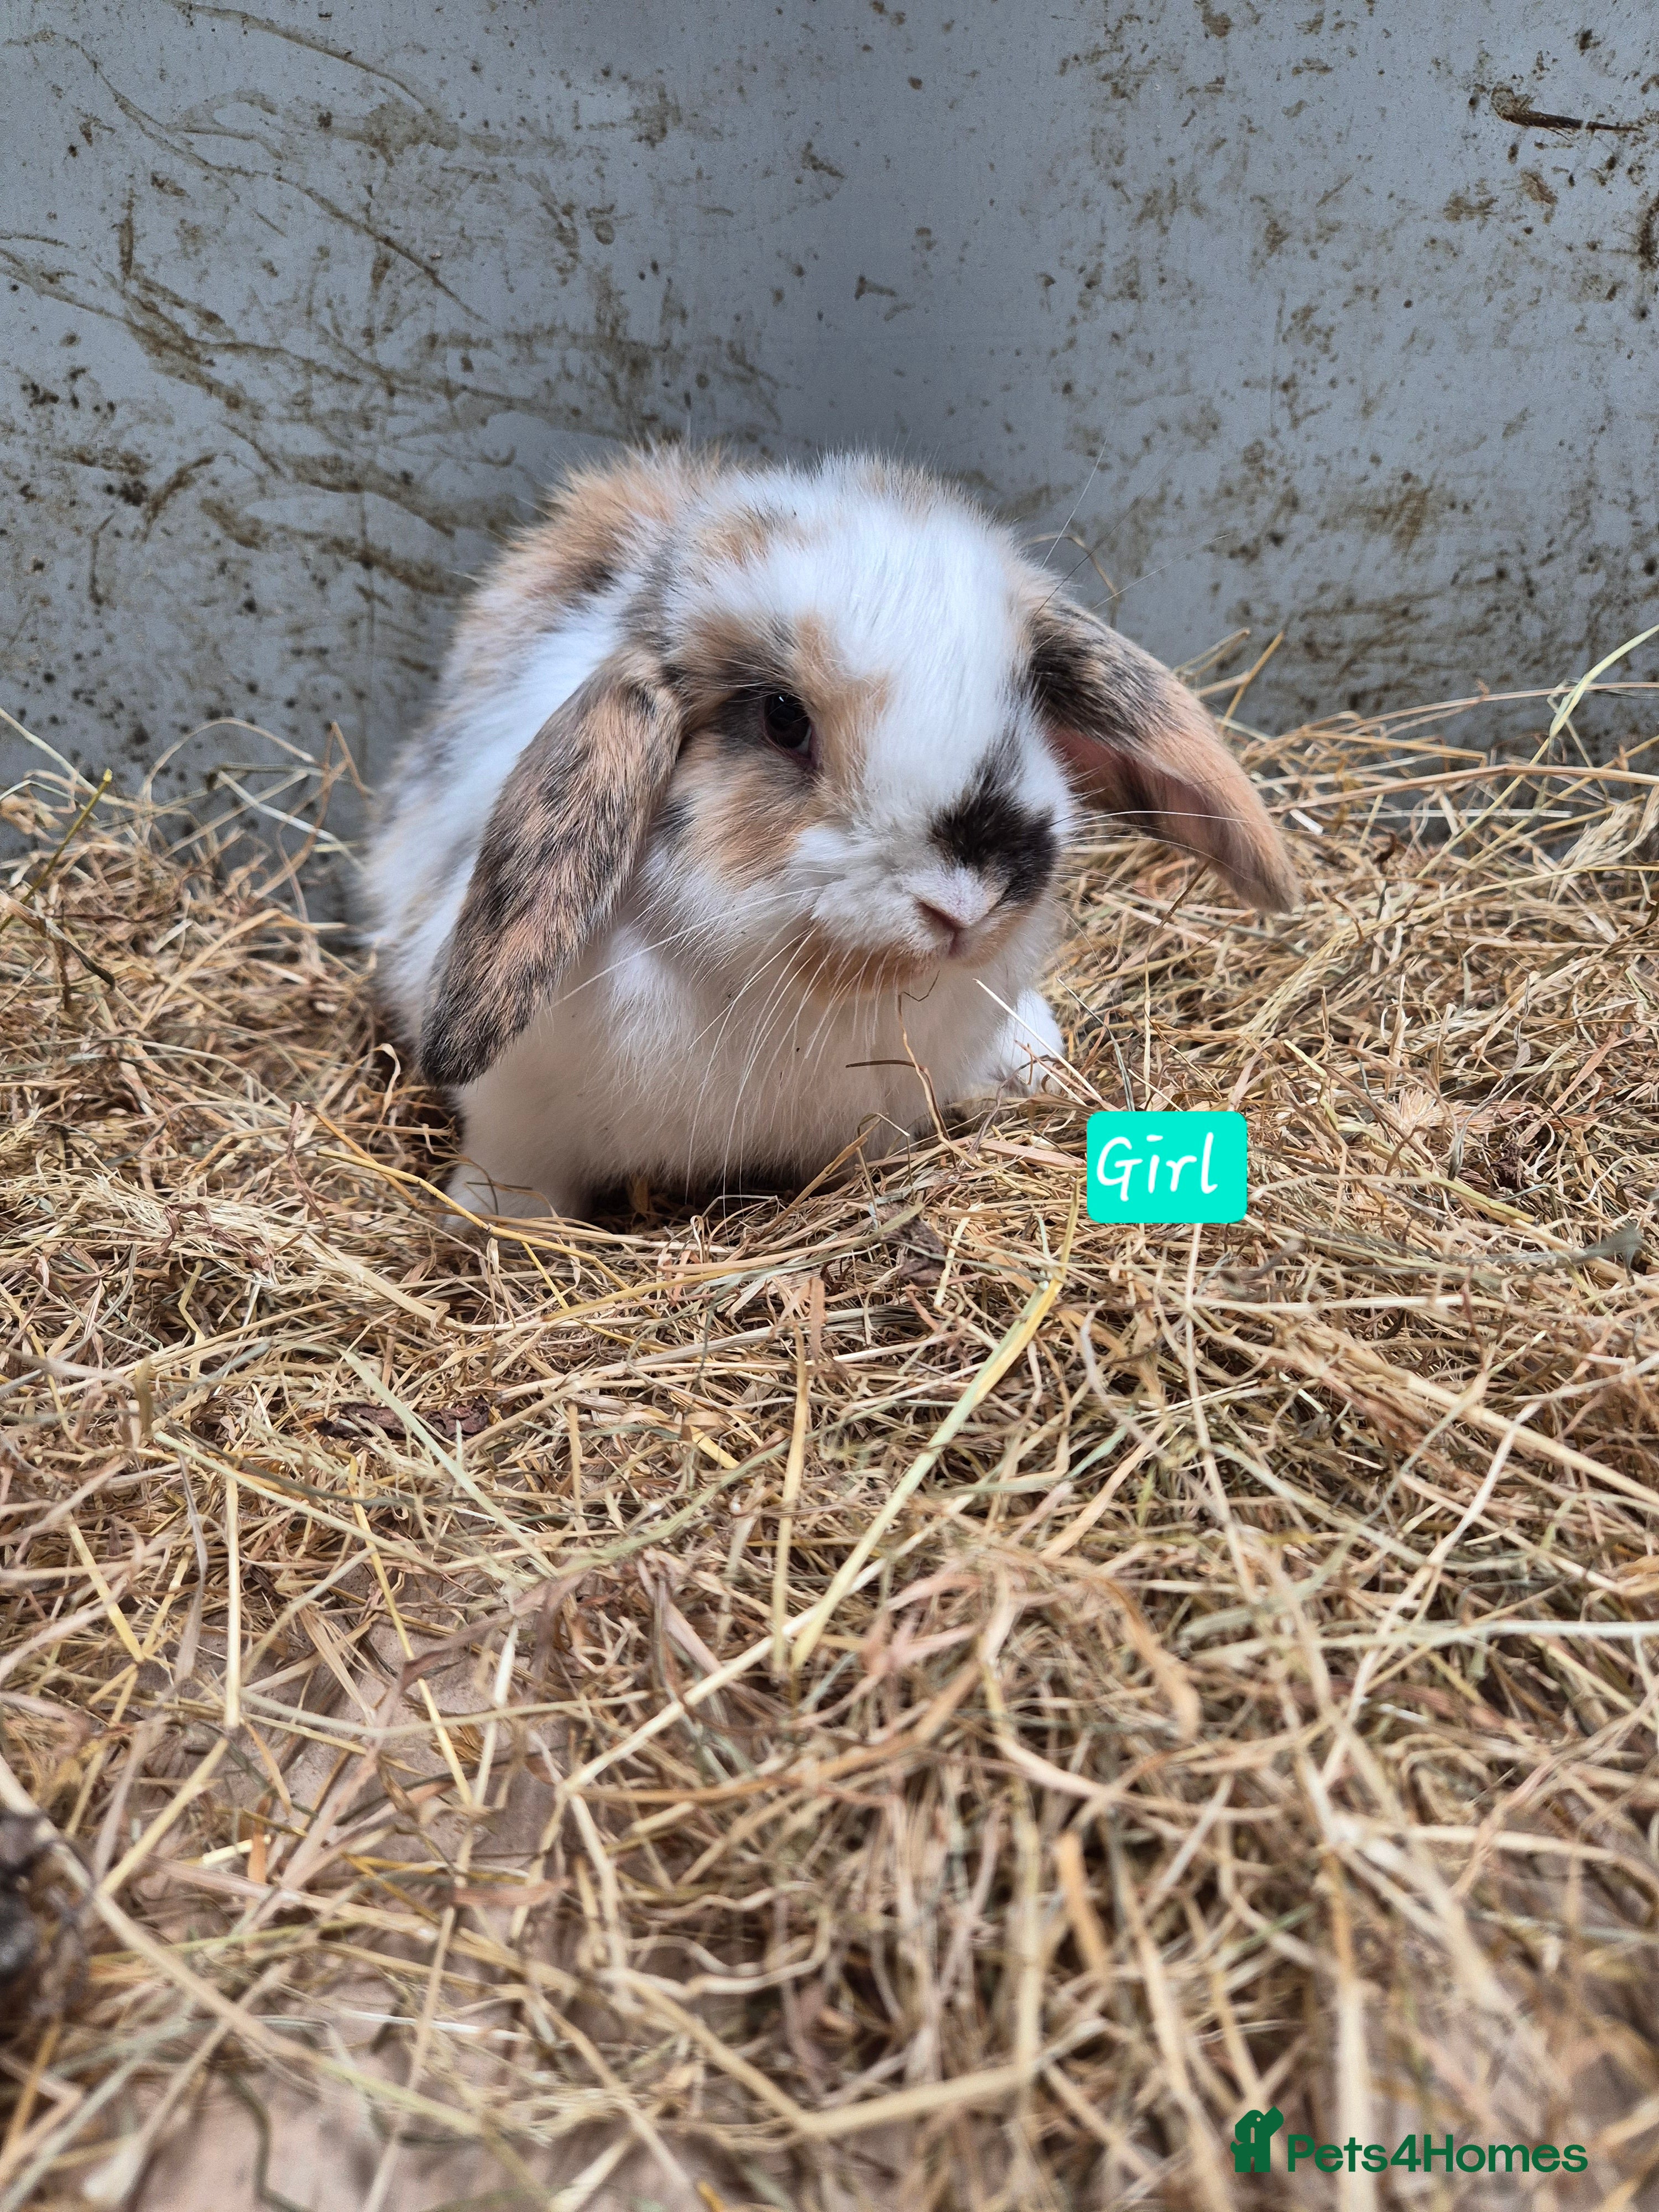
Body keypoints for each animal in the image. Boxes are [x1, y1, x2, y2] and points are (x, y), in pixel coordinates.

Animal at [366, 446, 1298, 1223]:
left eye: (1025, 696)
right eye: (783, 719)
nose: (964, 904)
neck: (811, 995)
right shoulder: (519, 1117)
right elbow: (516, 1177)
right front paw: (481, 1227)